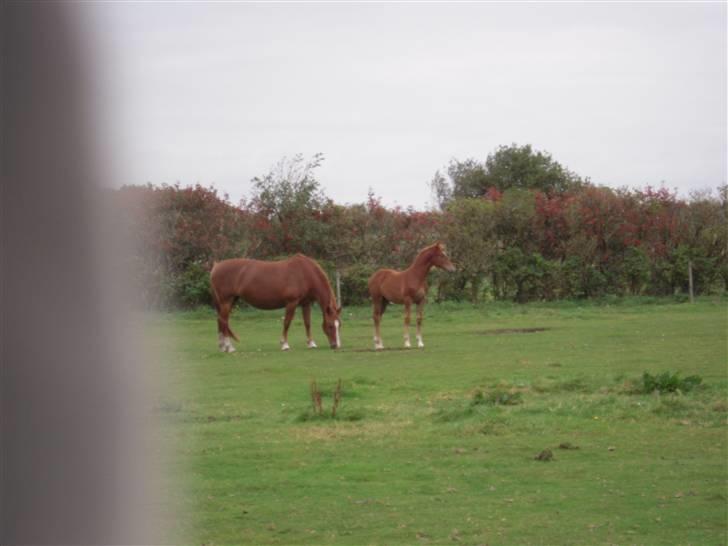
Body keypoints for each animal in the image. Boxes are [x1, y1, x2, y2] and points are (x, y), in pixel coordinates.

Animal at [210, 253, 342, 350]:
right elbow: (287, 322)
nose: (336, 346)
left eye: (339, 325)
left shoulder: (306, 303)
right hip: (226, 301)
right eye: (330, 325)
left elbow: (307, 323)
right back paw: (229, 347)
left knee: (221, 320)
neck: (305, 273)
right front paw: (284, 344)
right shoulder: (291, 303)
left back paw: (222, 346)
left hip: (231, 300)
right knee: (223, 320)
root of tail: (216, 266)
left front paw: (311, 343)